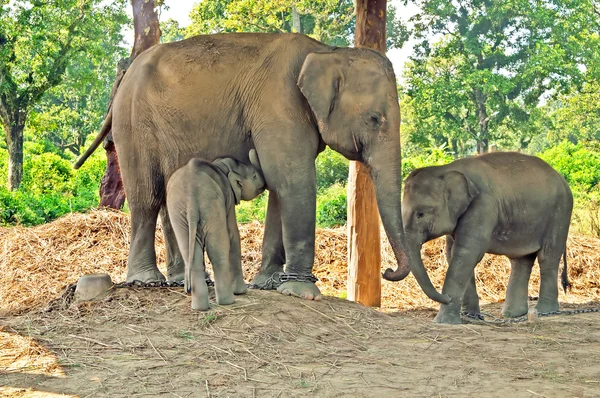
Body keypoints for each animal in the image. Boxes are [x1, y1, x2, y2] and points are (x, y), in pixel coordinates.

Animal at [166, 151, 264, 310]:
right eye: (254, 176)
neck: (222, 165)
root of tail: (191, 195)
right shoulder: (228, 196)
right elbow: (233, 234)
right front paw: (241, 292)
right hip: (211, 205)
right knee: (218, 250)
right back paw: (228, 301)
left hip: (178, 212)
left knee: (191, 254)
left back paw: (199, 307)